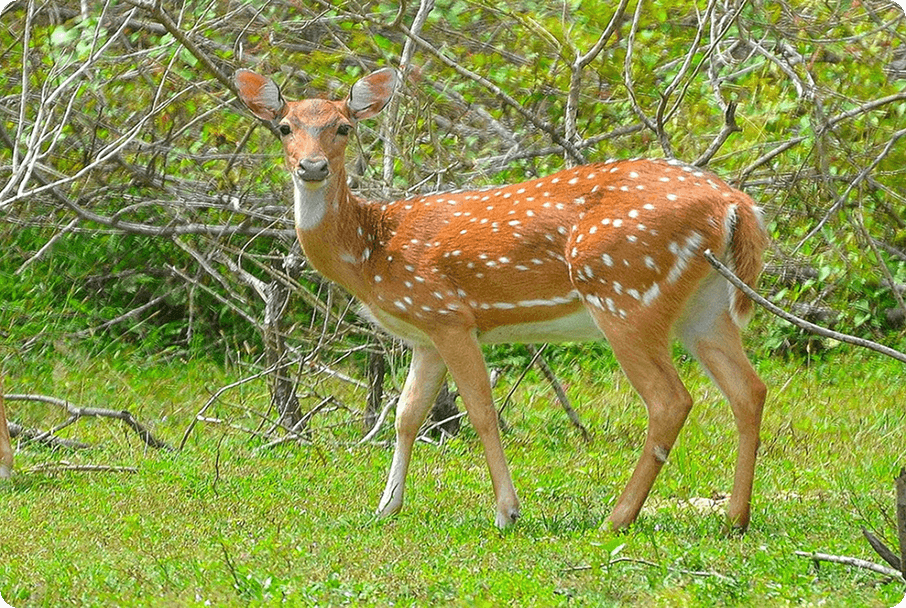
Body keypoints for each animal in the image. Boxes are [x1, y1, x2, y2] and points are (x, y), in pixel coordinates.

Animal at [233, 66, 769, 532]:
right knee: (749, 390)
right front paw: (386, 507)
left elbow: (480, 412)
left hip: (624, 293)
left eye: (343, 127)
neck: (372, 252)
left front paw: (507, 512)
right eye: (284, 127)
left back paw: (617, 518)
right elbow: (407, 416)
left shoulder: (449, 315)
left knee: (670, 400)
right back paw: (734, 518)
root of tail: (735, 204)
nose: (312, 166)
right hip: (705, 307)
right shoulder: (424, 334)